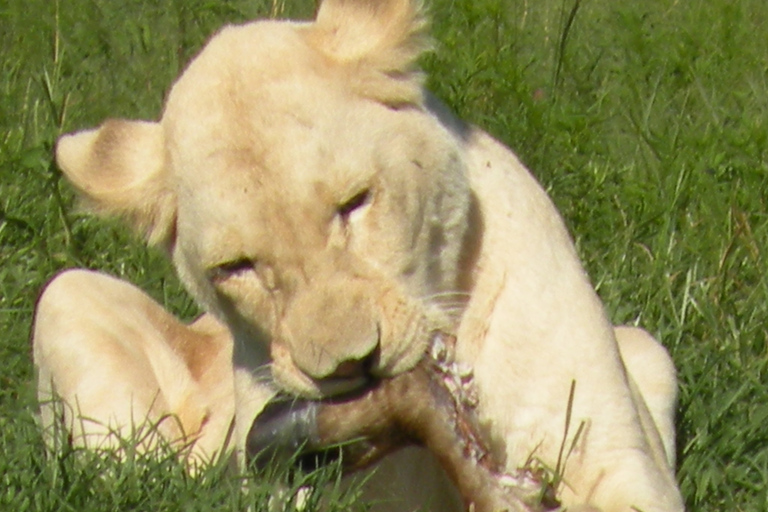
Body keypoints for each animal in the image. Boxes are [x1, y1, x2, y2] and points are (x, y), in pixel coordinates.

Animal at [34, 2, 684, 510]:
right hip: (64, 294)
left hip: (649, 350)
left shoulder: (616, 458)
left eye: (354, 203)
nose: (354, 365)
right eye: (236, 268)